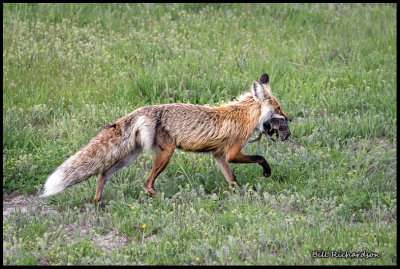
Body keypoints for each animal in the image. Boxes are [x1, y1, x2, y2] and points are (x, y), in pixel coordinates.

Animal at [40, 72, 290, 204]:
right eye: (279, 108)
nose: (289, 119)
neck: (243, 115)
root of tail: (142, 110)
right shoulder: (232, 152)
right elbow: (260, 158)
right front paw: (266, 173)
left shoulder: (219, 156)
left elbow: (232, 180)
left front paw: (237, 195)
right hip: (165, 155)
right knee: (146, 183)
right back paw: (161, 199)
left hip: (129, 157)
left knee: (102, 173)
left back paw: (97, 202)